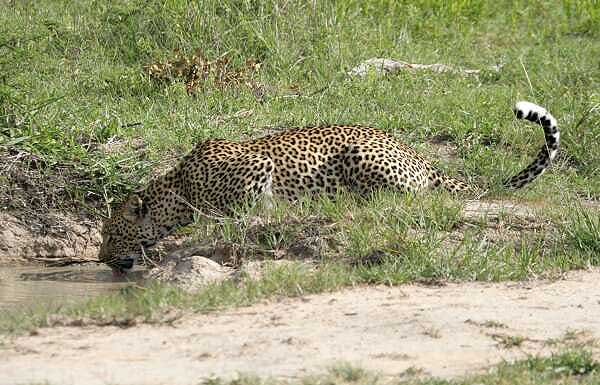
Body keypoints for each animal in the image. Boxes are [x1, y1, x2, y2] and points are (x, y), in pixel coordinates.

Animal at [98, 100, 556, 274]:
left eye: (110, 234)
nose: (100, 259)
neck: (180, 189)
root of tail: (418, 155)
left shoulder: (256, 167)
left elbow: (236, 211)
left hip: (363, 158)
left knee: (405, 197)